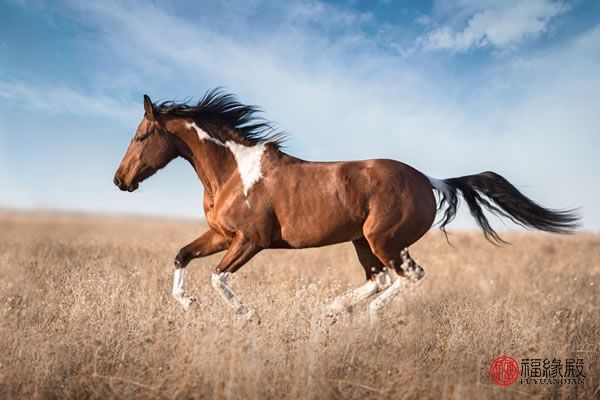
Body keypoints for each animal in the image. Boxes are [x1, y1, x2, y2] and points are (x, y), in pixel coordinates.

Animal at [111, 88, 576, 322]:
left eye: (140, 136)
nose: (120, 180)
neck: (233, 172)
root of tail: (430, 180)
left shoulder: (250, 240)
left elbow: (217, 278)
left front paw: (247, 315)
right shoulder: (221, 235)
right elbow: (181, 256)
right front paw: (187, 304)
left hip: (384, 240)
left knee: (407, 276)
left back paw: (367, 317)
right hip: (362, 242)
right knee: (380, 278)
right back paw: (332, 309)